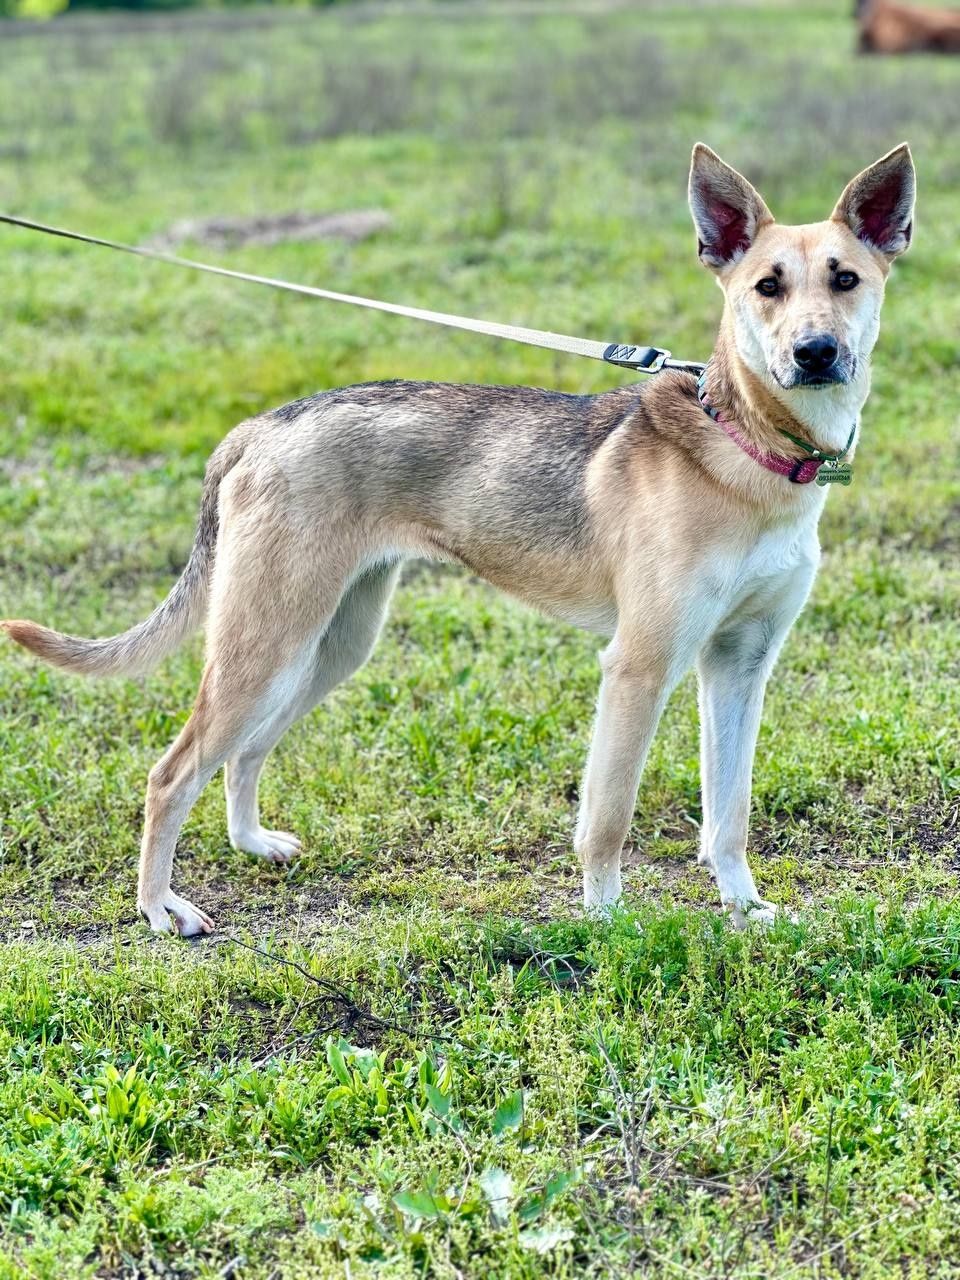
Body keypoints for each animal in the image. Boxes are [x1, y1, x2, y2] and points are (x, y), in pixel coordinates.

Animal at [1, 145, 916, 936]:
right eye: (766, 286)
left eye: (845, 279)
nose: (816, 352)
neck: (748, 448)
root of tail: (259, 427)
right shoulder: (640, 665)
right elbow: (608, 817)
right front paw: (606, 922)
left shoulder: (739, 664)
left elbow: (729, 813)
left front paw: (745, 908)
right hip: (266, 641)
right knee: (171, 773)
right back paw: (161, 908)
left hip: (330, 644)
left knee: (243, 752)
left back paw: (252, 844)